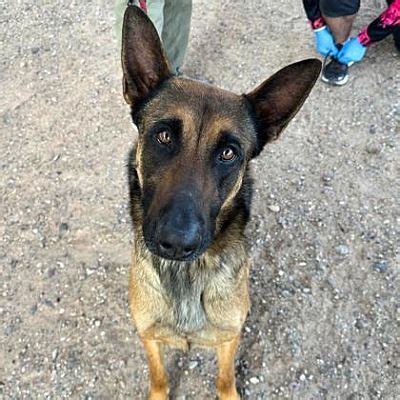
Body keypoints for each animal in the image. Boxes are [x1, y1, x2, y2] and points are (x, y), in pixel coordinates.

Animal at [121, 3, 322, 400]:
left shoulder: (229, 339)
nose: (176, 243)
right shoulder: (148, 336)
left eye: (229, 153)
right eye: (163, 136)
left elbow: (225, 377)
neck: (185, 275)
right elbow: (158, 375)